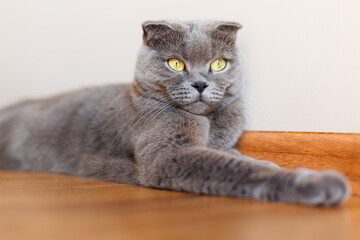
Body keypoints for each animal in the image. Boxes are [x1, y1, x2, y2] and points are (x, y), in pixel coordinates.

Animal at [0, 19, 348, 205]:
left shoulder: (218, 144)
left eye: (218, 64)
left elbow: (242, 158)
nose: (200, 84)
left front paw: (269, 161)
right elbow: (238, 168)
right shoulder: (168, 154)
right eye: (176, 63)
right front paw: (318, 182)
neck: (210, 123)